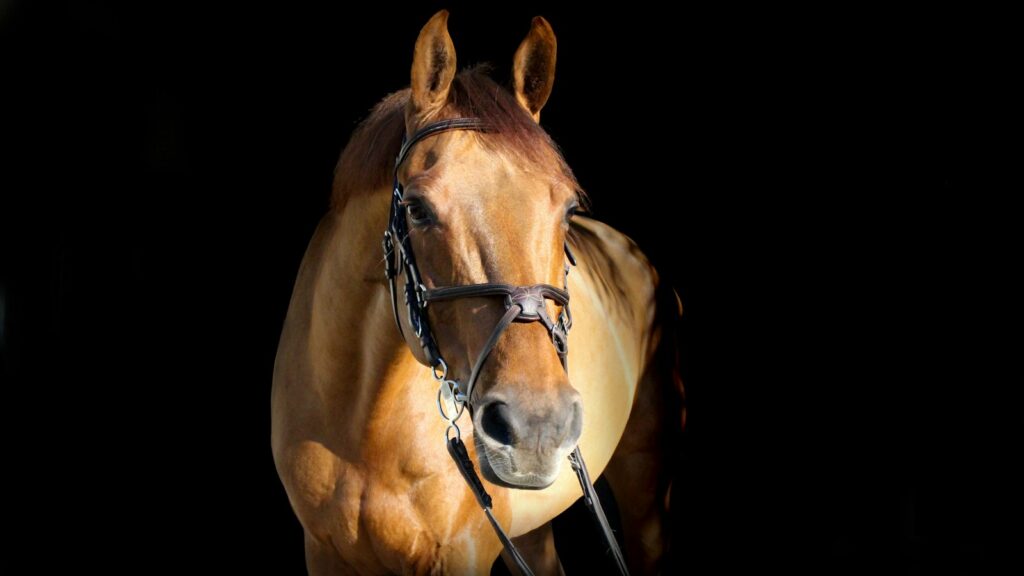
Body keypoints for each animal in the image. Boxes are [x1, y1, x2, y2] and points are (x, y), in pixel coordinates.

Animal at [272, 11, 684, 575]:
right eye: (417, 209)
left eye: (569, 209)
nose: (537, 426)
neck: (363, 429)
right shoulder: (324, 551)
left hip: (647, 487)